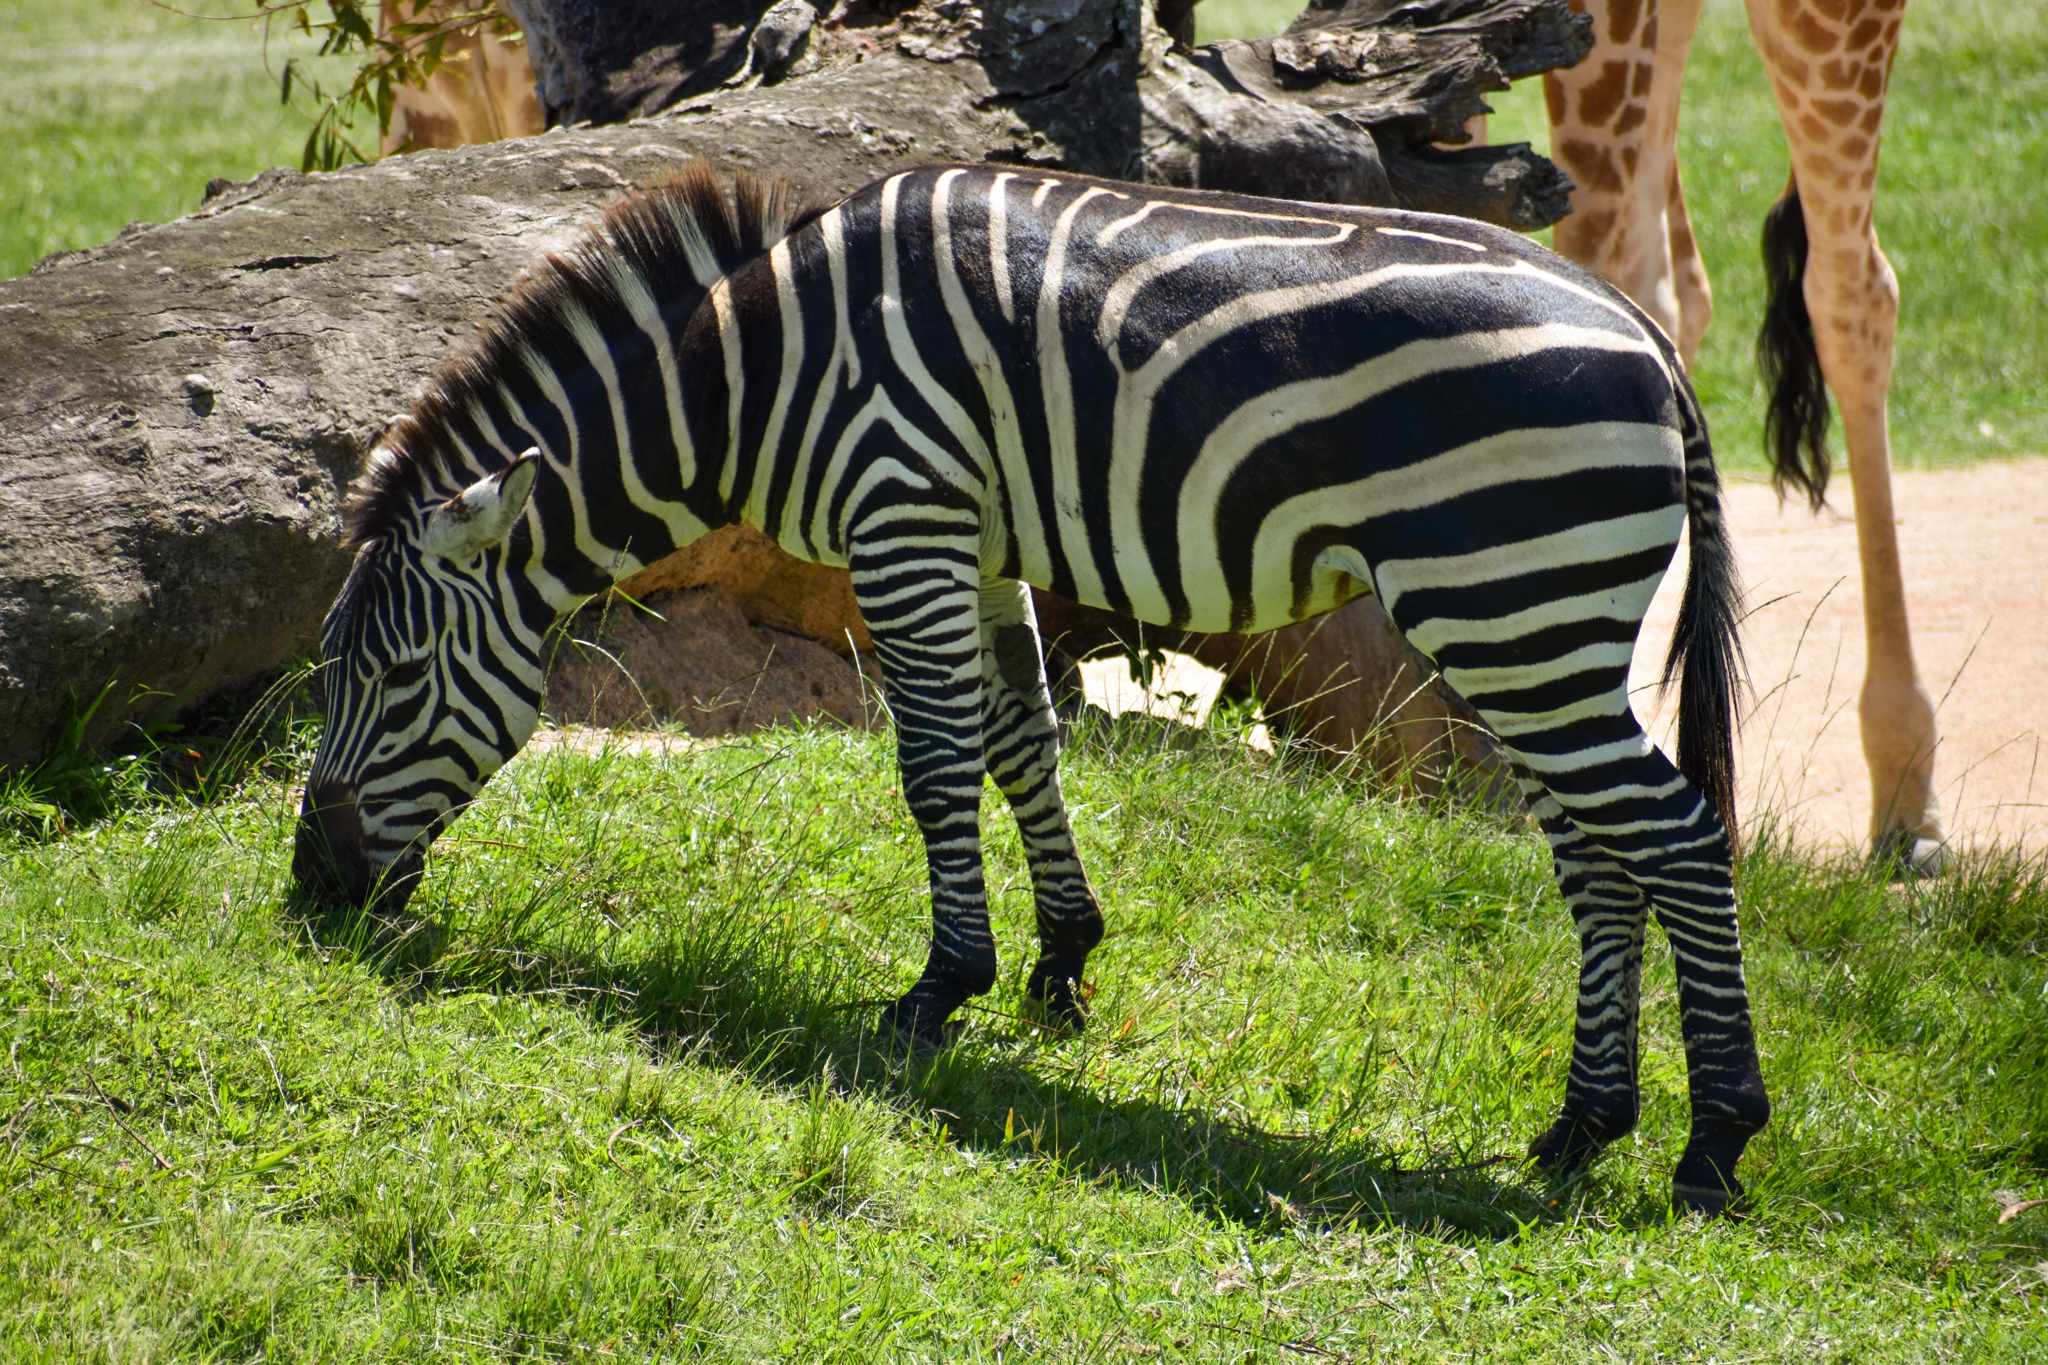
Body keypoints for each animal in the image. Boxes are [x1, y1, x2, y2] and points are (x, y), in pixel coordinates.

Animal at [293, 161, 1768, 1213]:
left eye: (401, 676)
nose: (313, 887)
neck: (765, 370)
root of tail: (1648, 336)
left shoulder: (903, 514)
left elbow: (935, 759)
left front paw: (939, 989)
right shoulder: (981, 537)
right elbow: (1021, 741)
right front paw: (1062, 964)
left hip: (1505, 597)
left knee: (1678, 838)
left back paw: (1714, 1144)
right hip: (1537, 622)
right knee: (1600, 860)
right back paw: (1580, 1128)